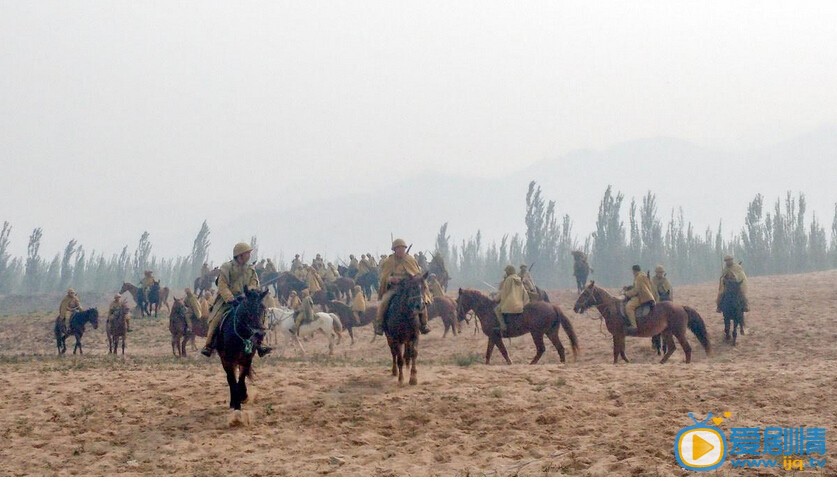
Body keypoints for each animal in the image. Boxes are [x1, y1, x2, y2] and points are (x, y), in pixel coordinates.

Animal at [217, 286, 270, 418]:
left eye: (263, 308)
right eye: (247, 308)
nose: (259, 334)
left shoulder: (247, 359)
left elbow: (241, 379)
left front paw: (244, 397)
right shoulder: (229, 360)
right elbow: (233, 381)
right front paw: (237, 405)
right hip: (225, 360)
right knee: (230, 379)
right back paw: (232, 402)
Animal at [572, 280, 708, 362]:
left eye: (586, 293)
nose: (575, 307)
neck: (612, 309)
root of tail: (681, 307)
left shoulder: (617, 334)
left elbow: (616, 352)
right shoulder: (621, 335)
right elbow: (622, 352)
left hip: (678, 332)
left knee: (687, 348)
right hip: (667, 332)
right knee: (672, 348)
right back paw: (661, 363)